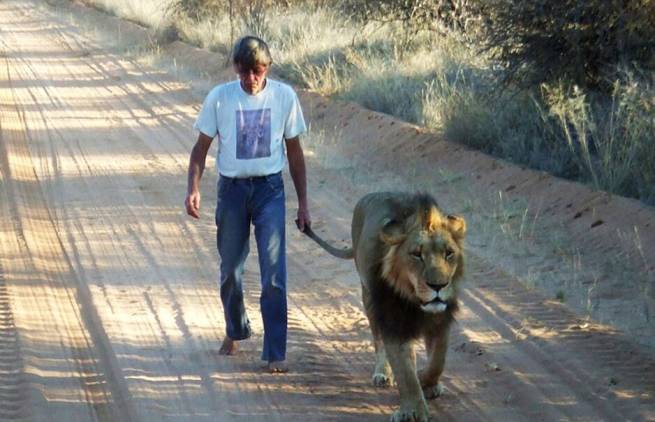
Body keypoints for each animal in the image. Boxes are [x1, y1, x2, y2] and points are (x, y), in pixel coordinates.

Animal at [302, 192, 466, 422]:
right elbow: (405, 372)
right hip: (369, 299)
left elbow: (437, 361)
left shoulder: (440, 320)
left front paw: (427, 382)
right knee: (378, 340)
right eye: (417, 254)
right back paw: (382, 373)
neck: (415, 301)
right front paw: (413, 411)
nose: (438, 286)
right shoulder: (392, 321)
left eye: (448, 253)